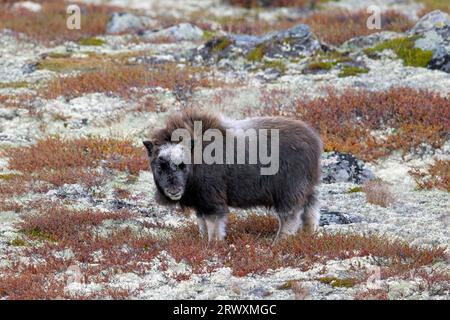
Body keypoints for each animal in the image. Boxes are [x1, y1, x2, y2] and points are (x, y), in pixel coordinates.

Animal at [142, 110, 322, 242]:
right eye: (160, 166)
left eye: (182, 165)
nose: (173, 190)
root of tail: (314, 141)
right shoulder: (200, 202)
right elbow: (202, 224)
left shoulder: (211, 200)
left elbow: (213, 224)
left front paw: (213, 243)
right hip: (306, 188)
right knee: (310, 209)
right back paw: (308, 235)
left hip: (288, 191)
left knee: (290, 216)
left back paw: (279, 241)